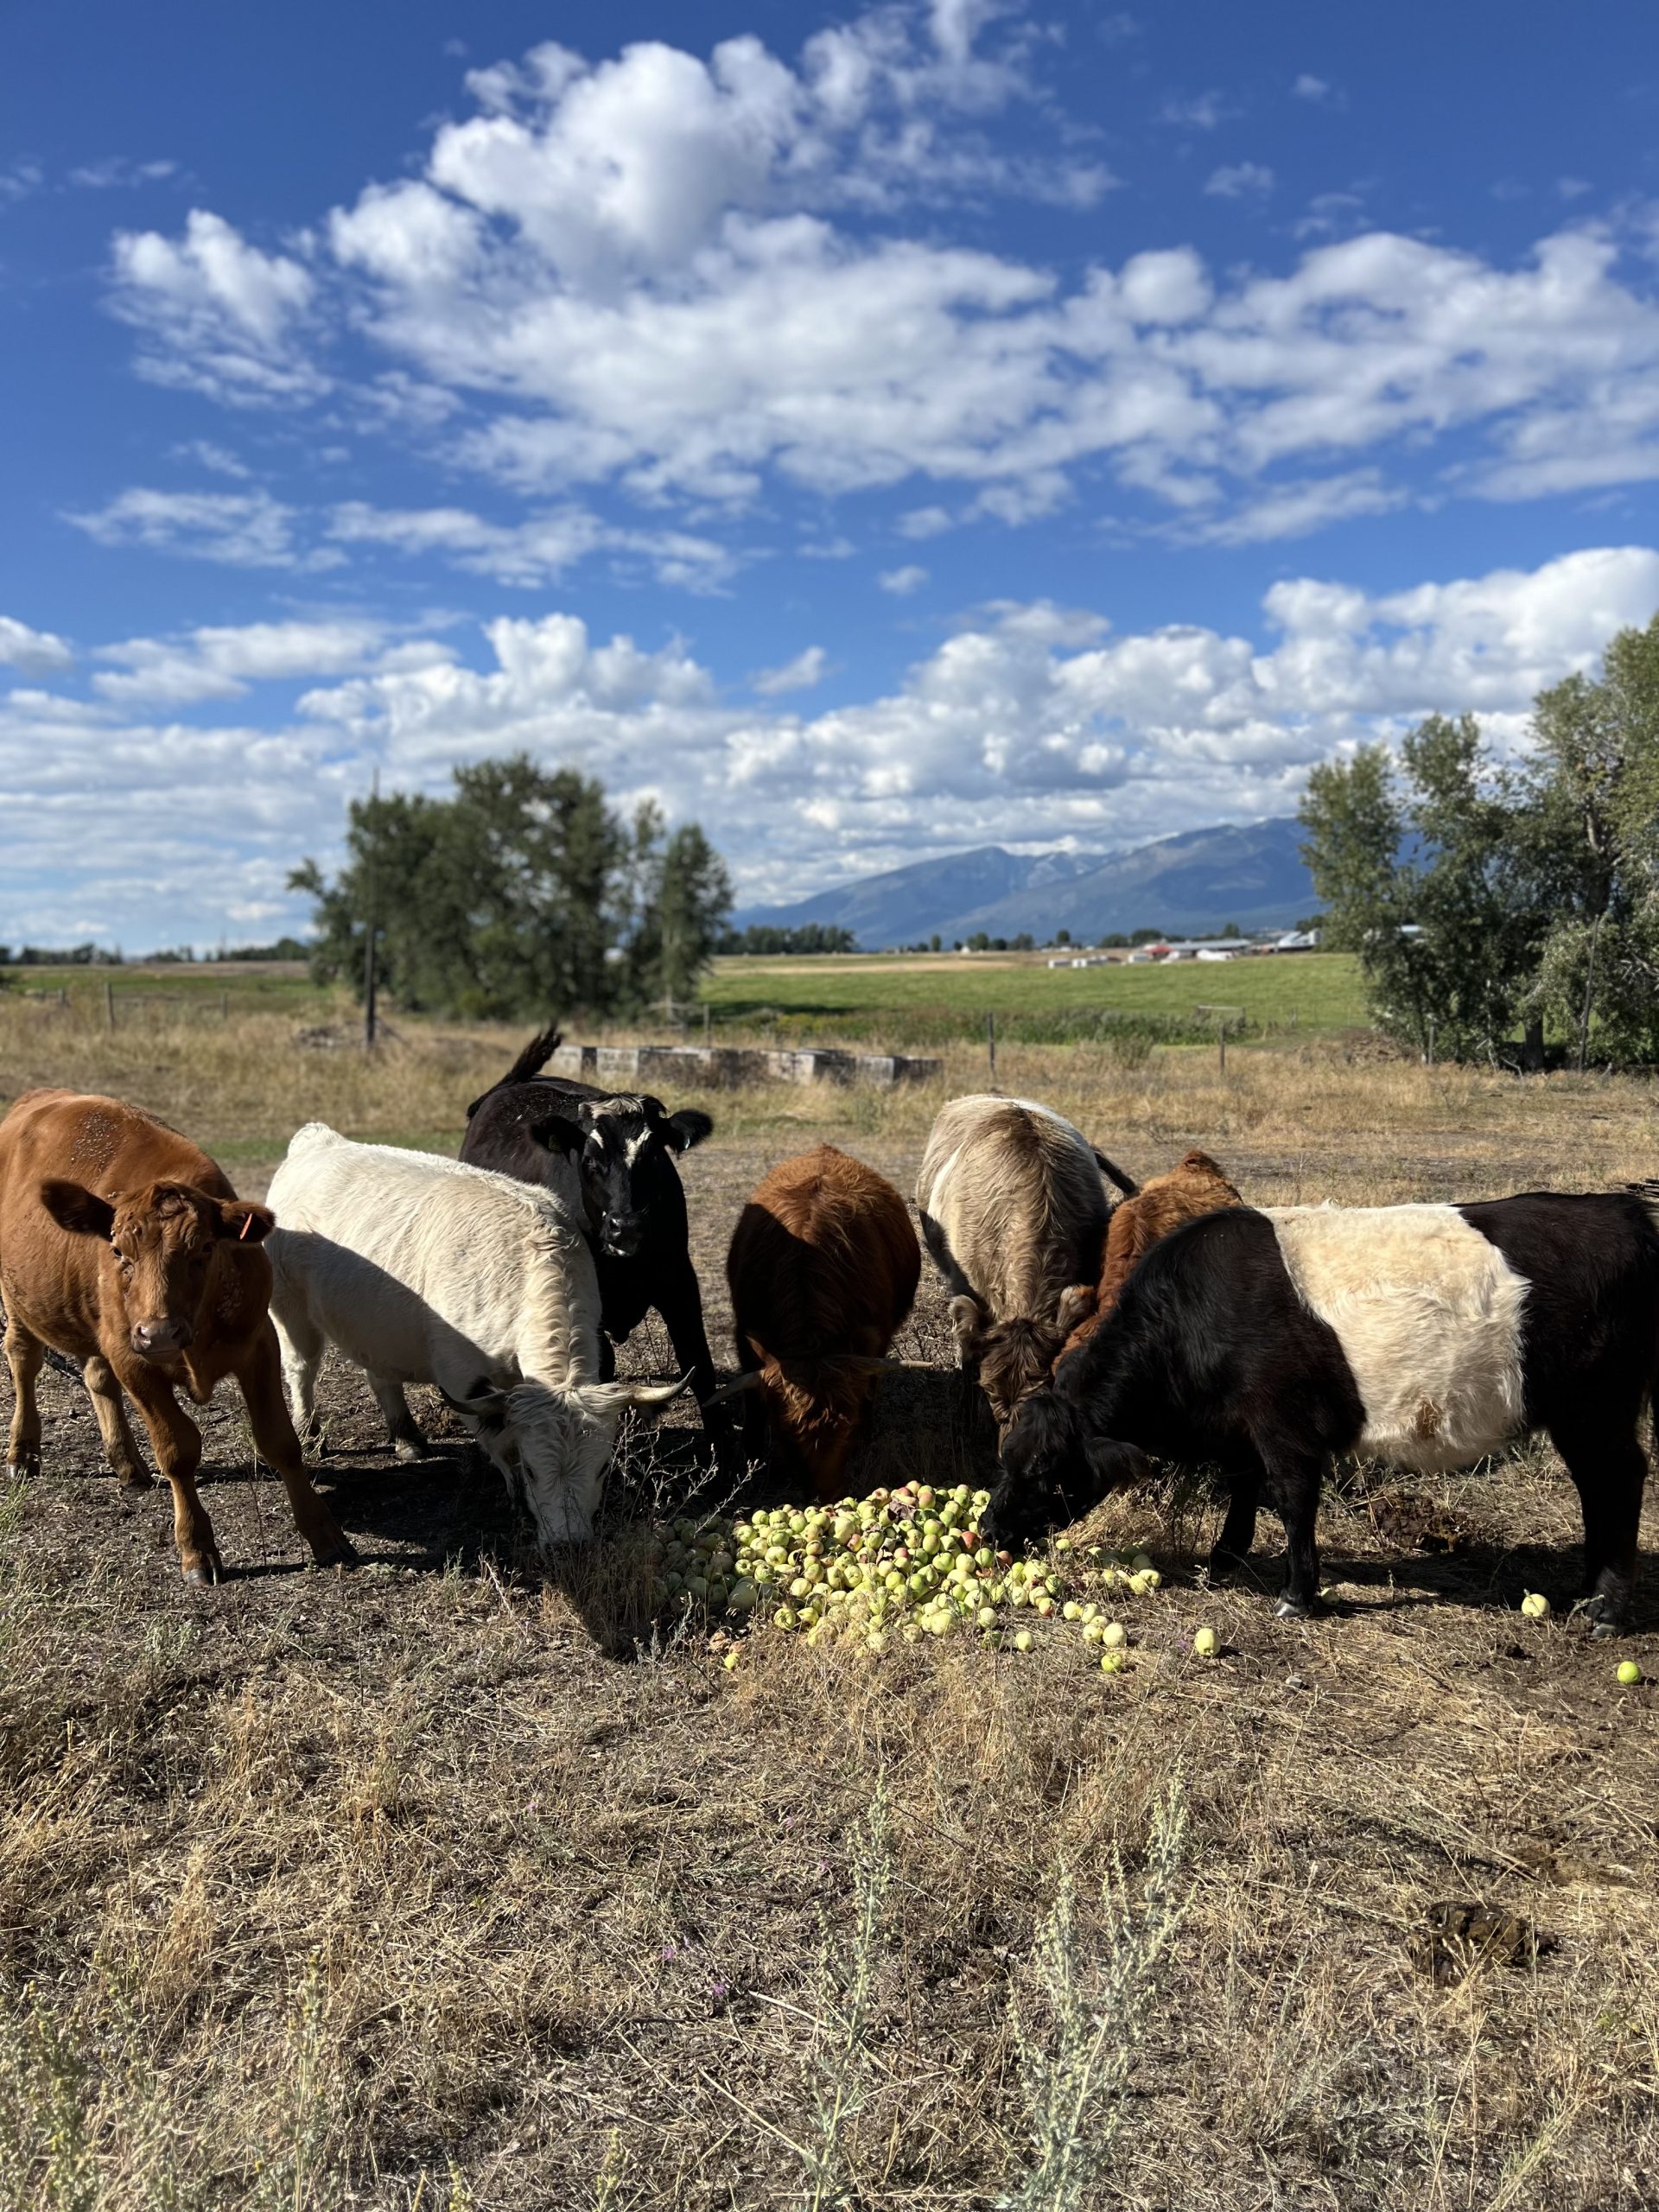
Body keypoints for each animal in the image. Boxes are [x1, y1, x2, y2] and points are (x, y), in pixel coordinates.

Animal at [0, 1088, 354, 1584]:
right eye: (117, 1251)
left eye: (204, 1248)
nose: (159, 1332)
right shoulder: (134, 1359)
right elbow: (177, 1450)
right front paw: (196, 1548)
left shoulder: (259, 1344)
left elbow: (280, 1441)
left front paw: (324, 1533)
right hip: (18, 1303)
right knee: (23, 1361)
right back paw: (22, 1453)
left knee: (96, 1377)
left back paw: (127, 1464)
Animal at [265, 1123, 688, 1546]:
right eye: (533, 1471)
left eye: (602, 1469)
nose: (568, 1542)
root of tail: (317, 1141)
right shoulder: (462, 1377)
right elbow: (501, 1443)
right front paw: (515, 1494)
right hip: (289, 1308)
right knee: (301, 1368)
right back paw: (310, 1435)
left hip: (374, 1325)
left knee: (380, 1375)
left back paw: (407, 1438)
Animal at [718, 1145, 921, 1496]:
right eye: (784, 1430)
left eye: (849, 1427)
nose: (825, 1494)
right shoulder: (745, 1334)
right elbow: (752, 1402)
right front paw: (751, 1452)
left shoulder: (874, 1338)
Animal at [987, 1192, 1659, 1632]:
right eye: (1005, 1457)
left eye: (1046, 1472)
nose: (992, 1530)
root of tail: (1618, 1209)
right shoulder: (1242, 1431)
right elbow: (1243, 1484)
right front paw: (1224, 1558)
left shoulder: (1283, 1425)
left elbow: (1290, 1500)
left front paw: (1297, 1593)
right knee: (1596, 1487)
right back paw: (1584, 1590)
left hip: (1597, 1407)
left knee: (1620, 1479)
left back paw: (1606, 1609)